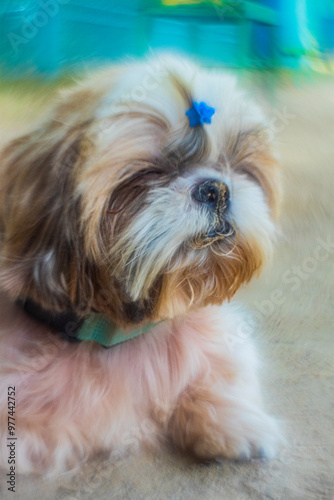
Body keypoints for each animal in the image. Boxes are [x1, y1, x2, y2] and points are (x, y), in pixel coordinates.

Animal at [0, 55, 282, 476]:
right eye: (149, 174)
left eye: (235, 165)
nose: (215, 189)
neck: (123, 331)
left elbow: (215, 375)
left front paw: (235, 421)